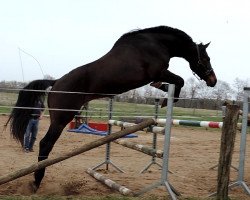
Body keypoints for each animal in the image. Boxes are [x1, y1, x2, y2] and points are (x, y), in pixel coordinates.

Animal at [7, 25, 217, 191]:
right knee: (45, 143)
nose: (213, 80)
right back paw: (36, 181)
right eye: (206, 58)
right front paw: (168, 100)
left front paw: (163, 94)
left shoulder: (155, 76)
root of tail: (56, 82)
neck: (156, 44)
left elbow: (164, 84)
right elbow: (179, 81)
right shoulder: (158, 71)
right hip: (62, 118)